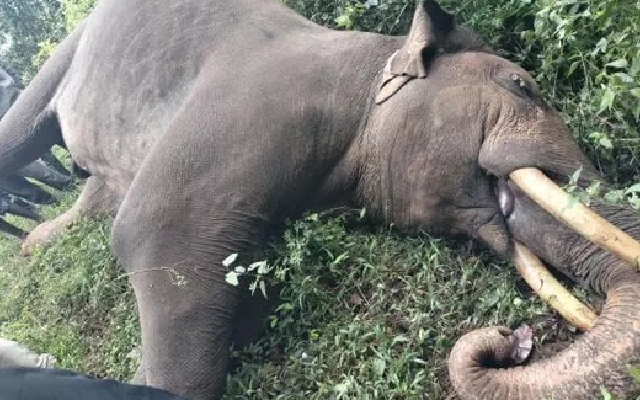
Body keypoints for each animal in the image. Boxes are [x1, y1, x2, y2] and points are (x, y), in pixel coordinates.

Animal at [0, 0, 639, 399]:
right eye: (521, 85)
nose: (509, 340)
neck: (369, 62)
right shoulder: (256, 107)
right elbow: (150, 232)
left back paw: (34, 246)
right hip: (70, 47)